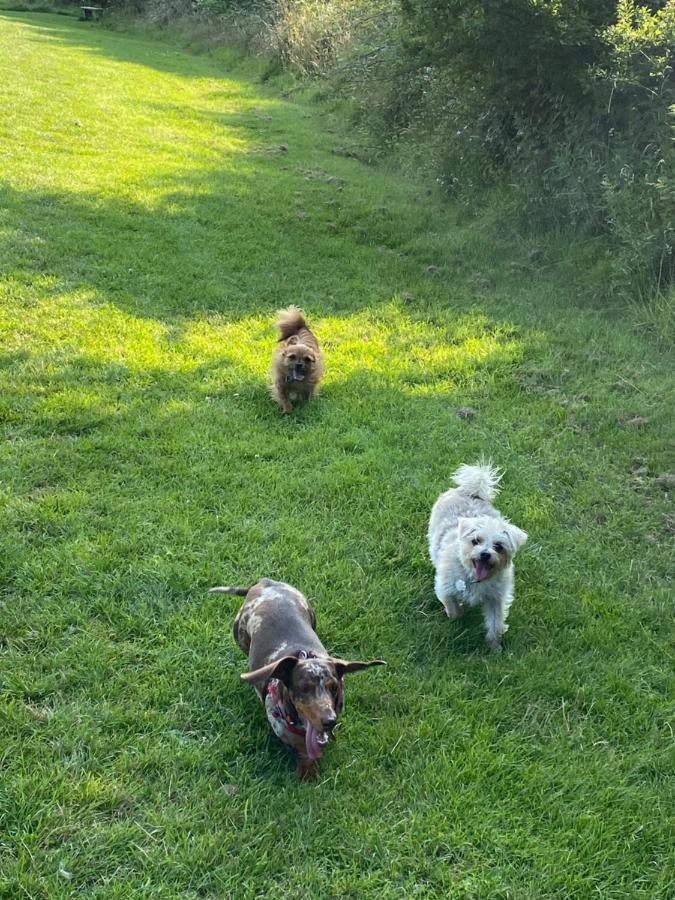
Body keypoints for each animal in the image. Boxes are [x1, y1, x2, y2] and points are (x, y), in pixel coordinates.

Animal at [428, 464, 528, 648]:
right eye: (476, 541)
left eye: (499, 546)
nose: (485, 554)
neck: (474, 578)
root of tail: (471, 491)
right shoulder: (445, 588)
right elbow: (453, 608)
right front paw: (457, 616)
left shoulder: (496, 598)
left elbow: (496, 623)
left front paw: (494, 646)